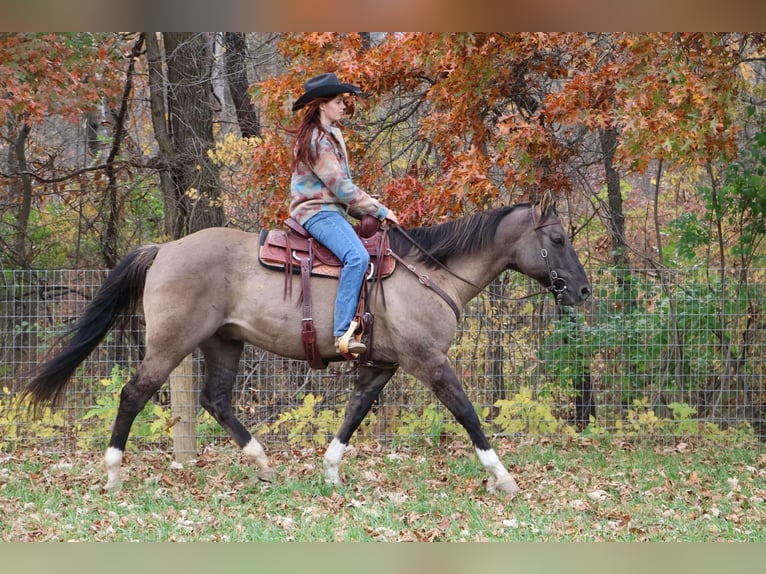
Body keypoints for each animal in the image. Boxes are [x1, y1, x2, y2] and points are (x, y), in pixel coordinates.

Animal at [23, 196, 590, 495]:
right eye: (558, 238)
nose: (583, 291)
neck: (430, 274)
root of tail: (164, 248)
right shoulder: (429, 362)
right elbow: (468, 414)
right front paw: (503, 478)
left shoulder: (381, 366)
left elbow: (354, 414)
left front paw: (331, 472)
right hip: (170, 345)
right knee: (134, 394)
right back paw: (114, 474)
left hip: (223, 344)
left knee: (216, 401)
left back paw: (262, 464)